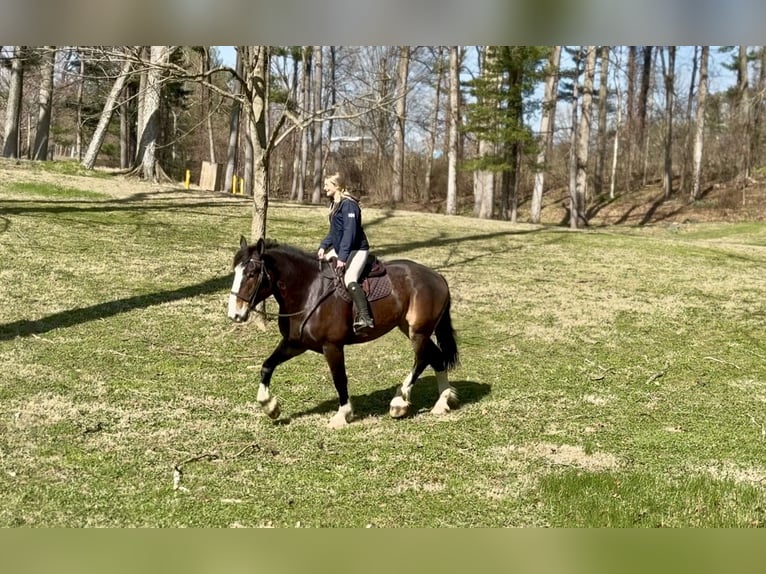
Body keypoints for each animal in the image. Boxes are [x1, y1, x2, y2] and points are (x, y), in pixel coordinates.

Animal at [227, 236, 459, 428]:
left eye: (251, 274)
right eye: (235, 272)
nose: (234, 314)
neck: (308, 290)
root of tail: (437, 276)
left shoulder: (332, 346)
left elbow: (339, 378)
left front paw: (342, 415)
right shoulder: (295, 343)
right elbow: (267, 366)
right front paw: (270, 406)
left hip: (418, 332)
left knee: (421, 360)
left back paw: (399, 402)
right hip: (411, 328)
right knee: (436, 357)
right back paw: (442, 402)